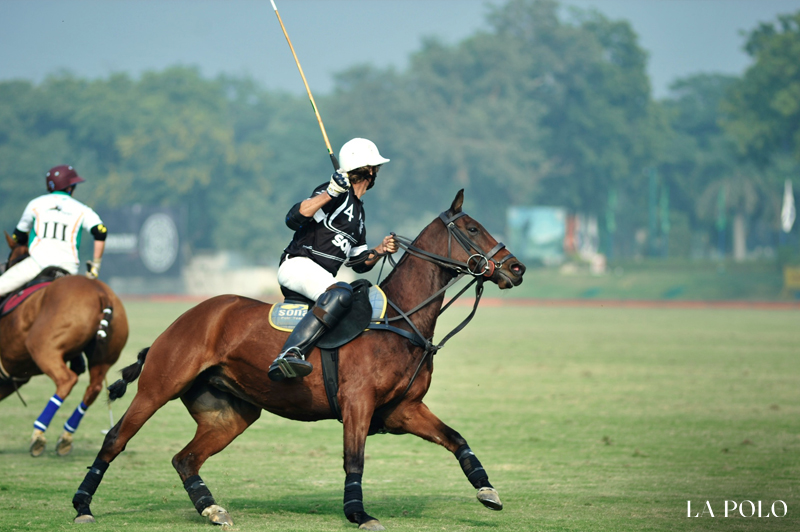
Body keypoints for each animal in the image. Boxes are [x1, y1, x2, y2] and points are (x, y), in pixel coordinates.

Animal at [1, 231, 130, 456]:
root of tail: (102, 293)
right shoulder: (11, 377)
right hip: (103, 357)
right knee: (94, 387)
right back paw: (65, 437)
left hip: (42, 348)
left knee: (66, 380)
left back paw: (39, 434)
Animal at [73, 189, 524, 528]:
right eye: (472, 228)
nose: (517, 268)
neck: (399, 320)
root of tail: (182, 320)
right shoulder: (358, 403)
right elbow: (354, 460)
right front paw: (359, 514)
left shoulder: (403, 408)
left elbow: (457, 439)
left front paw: (487, 490)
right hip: (160, 385)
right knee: (116, 439)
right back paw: (82, 506)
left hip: (229, 414)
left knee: (185, 458)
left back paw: (212, 509)